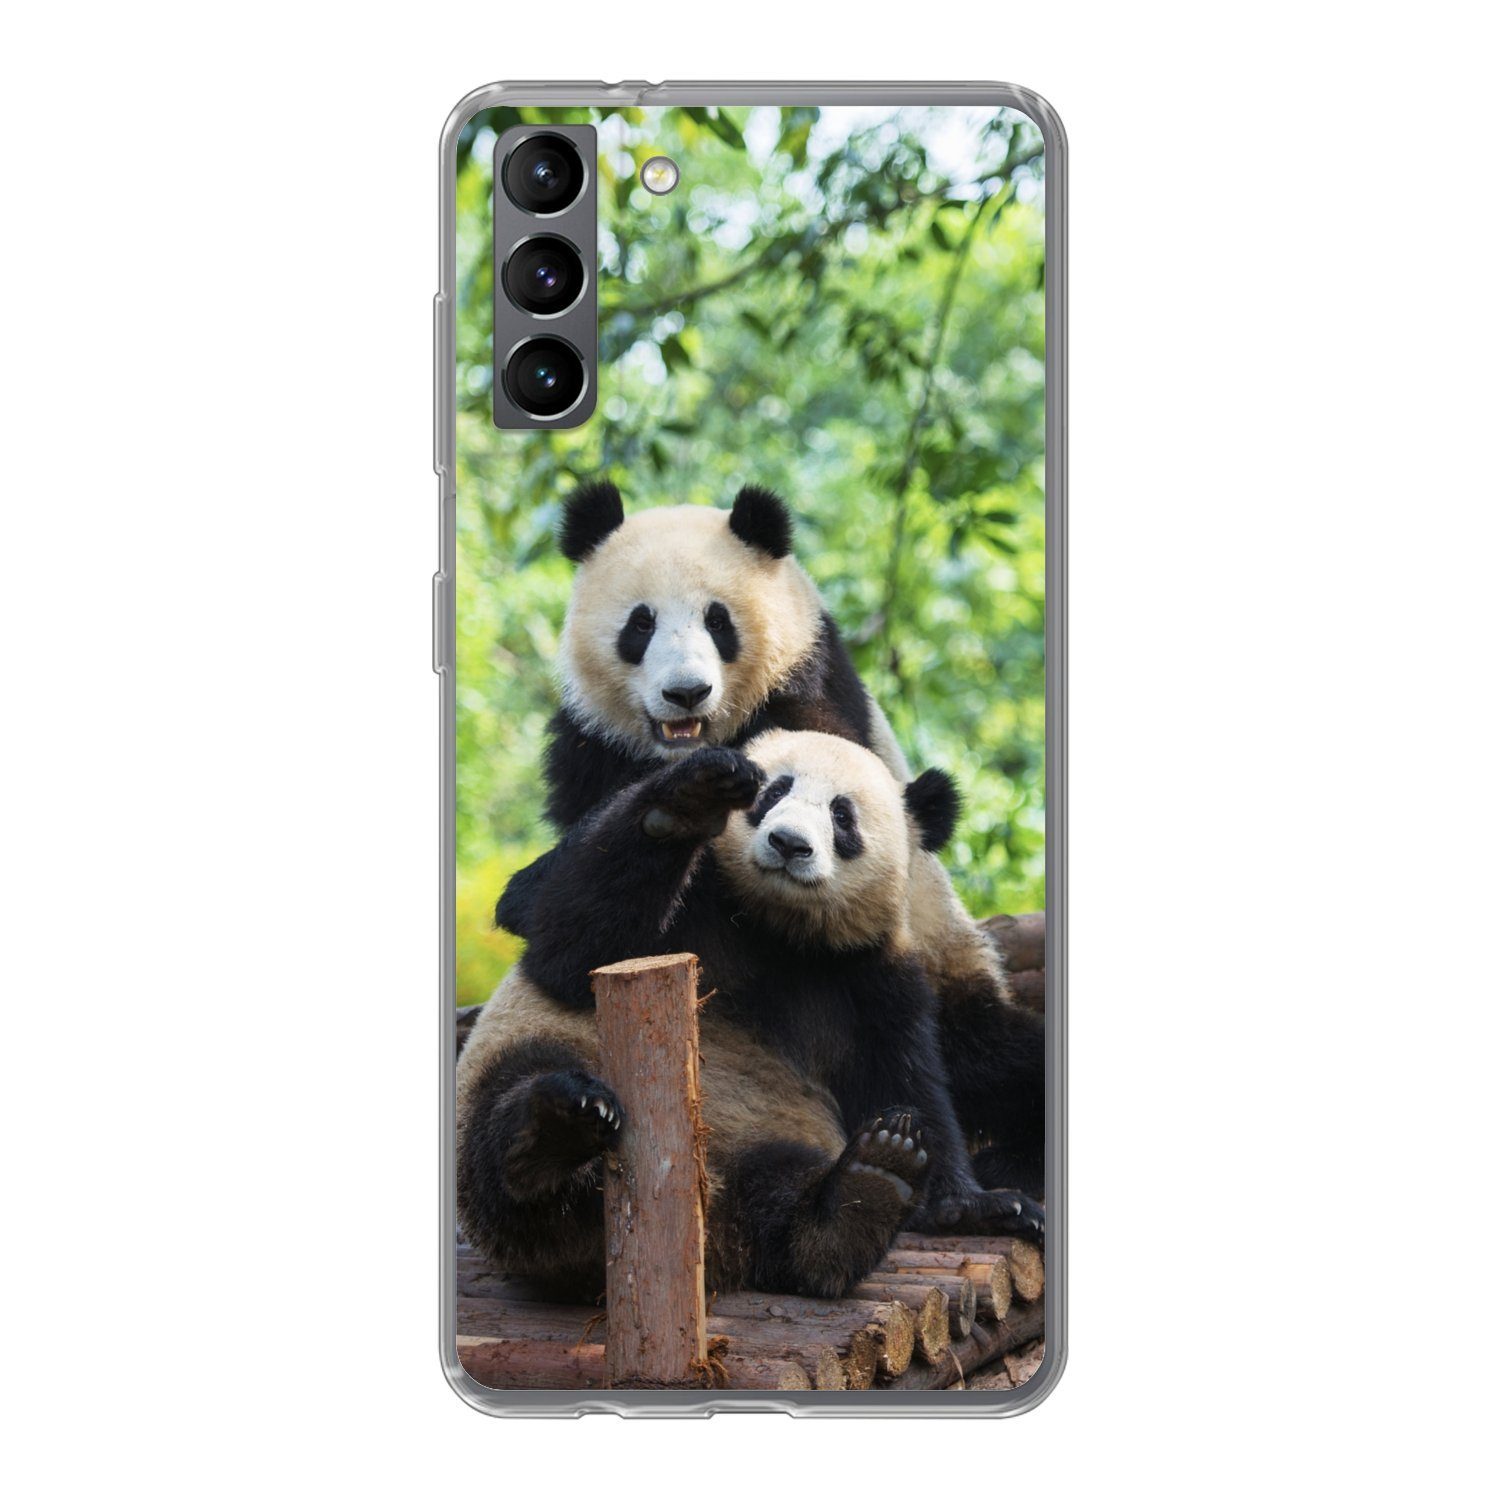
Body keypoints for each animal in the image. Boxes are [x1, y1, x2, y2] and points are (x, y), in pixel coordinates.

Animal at [458, 730, 1044, 1300]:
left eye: (842, 815)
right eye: (773, 792)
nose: (788, 843)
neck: (776, 927)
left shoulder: (868, 975)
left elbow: (905, 1074)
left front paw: (971, 1202)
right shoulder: (691, 909)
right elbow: (570, 949)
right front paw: (688, 800)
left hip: (763, 1142)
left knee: (779, 1201)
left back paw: (860, 1197)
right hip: (541, 1060)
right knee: (511, 1109)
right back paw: (558, 1130)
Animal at [502, 478, 1044, 1198]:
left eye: (718, 621)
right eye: (640, 624)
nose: (687, 692)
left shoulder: (810, 696)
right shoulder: (591, 746)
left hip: (948, 971)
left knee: (1001, 1060)